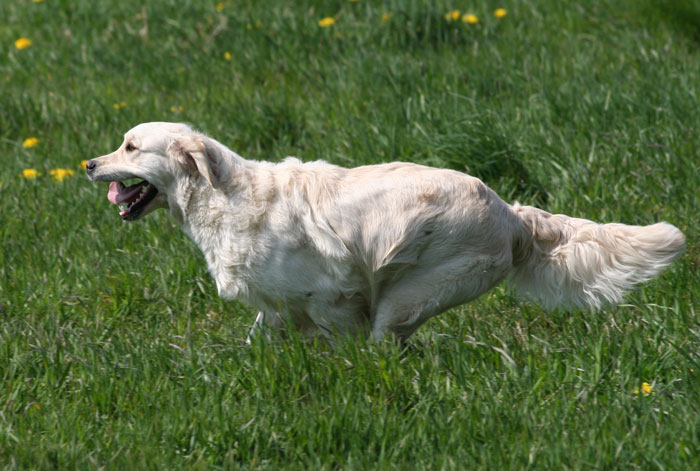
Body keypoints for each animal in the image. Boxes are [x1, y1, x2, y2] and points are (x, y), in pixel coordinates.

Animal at [85, 121, 688, 342]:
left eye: (130, 147)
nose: (89, 164)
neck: (222, 195)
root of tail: (511, 212)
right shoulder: (276, 304)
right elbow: (260, 337)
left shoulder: (333, 296)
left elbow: (336, 338)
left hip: (407, 296)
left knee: (382, 345)